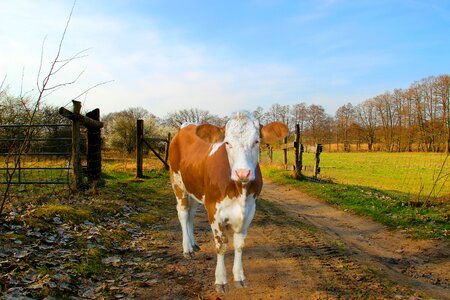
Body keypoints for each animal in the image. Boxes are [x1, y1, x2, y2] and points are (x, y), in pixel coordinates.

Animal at [168, 110, 288, 292]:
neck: (240, 191)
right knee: (182, 213)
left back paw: (194, 244)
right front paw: (221, 280)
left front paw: (239, 277)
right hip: (177, 183)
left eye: (256, 141)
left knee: (191, 214)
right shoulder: (214, 210)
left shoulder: (250, 210)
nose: (243, 173)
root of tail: (186, 126)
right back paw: (187, 248)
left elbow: (239, 245)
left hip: (195, 189)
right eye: (227, 143)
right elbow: (221, 245)